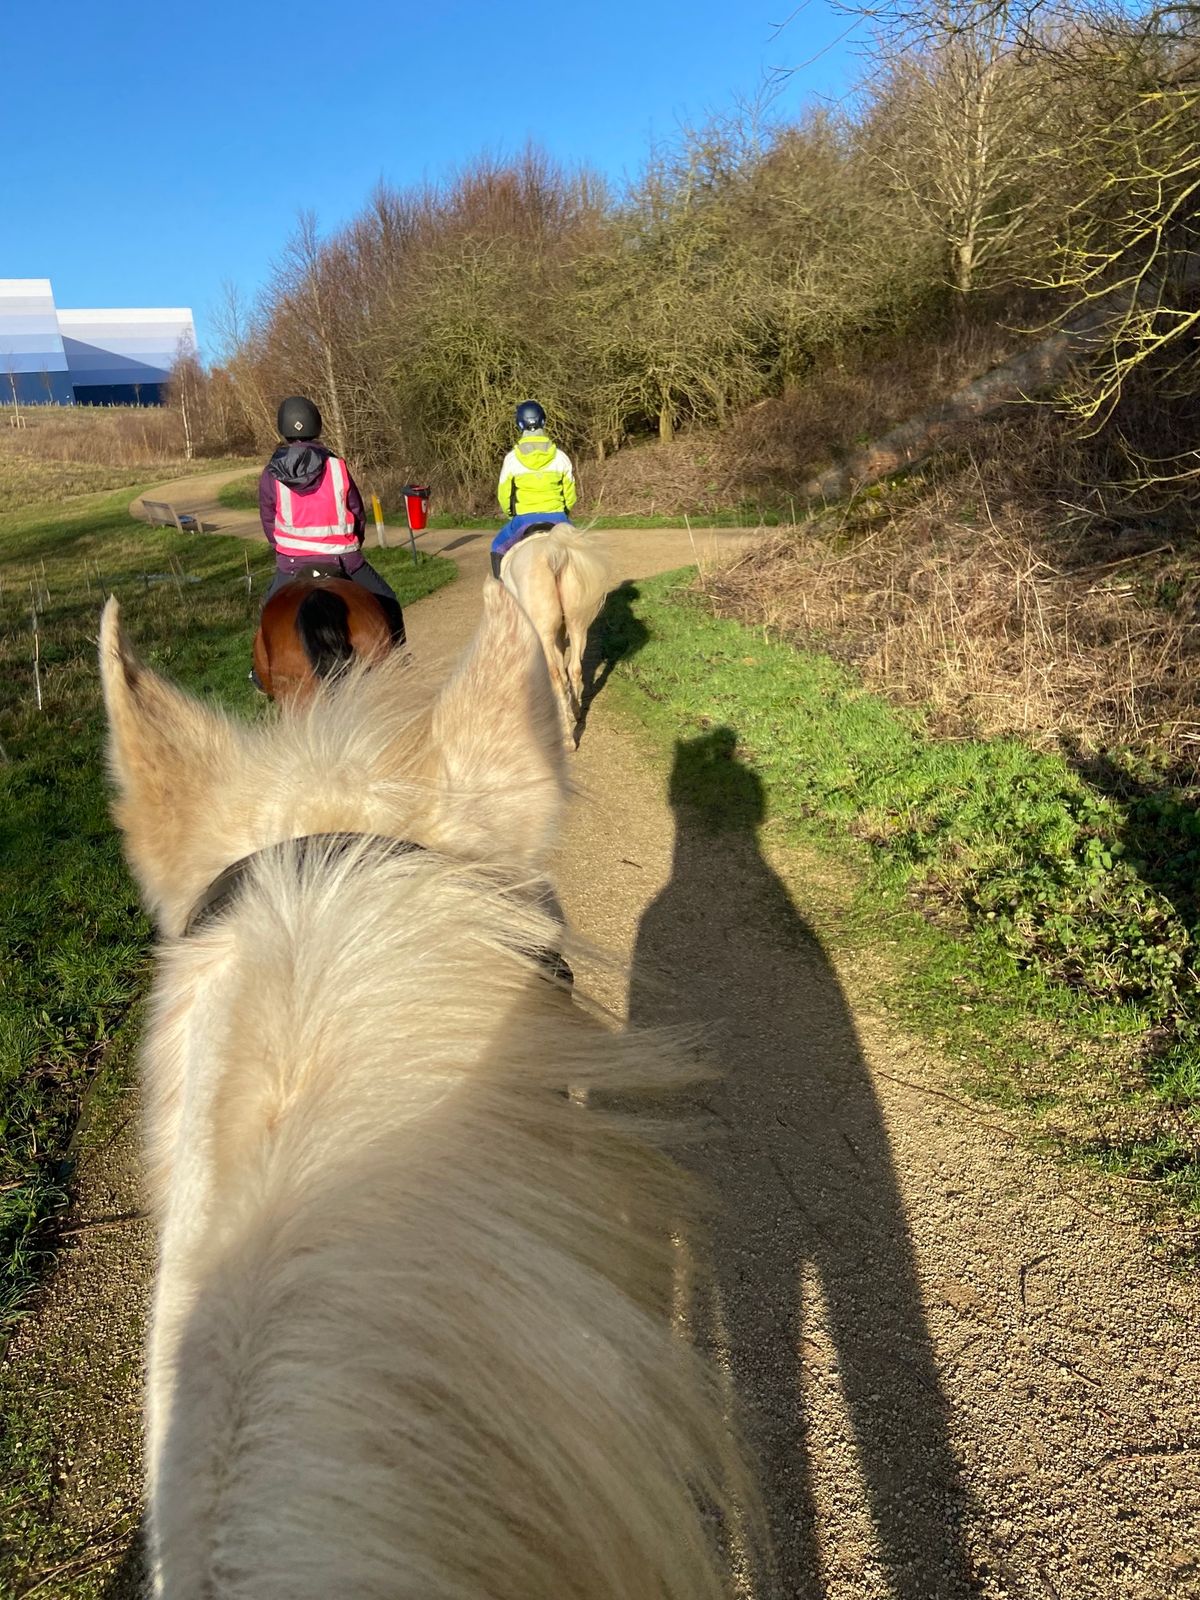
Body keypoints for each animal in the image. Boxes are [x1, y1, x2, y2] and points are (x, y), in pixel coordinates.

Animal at [499, 528, 611, 745]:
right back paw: (576, 712)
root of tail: (555, 552)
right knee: (574, 668)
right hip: (576, 623)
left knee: (555, 676)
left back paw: (567, 737)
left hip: (543, 631)